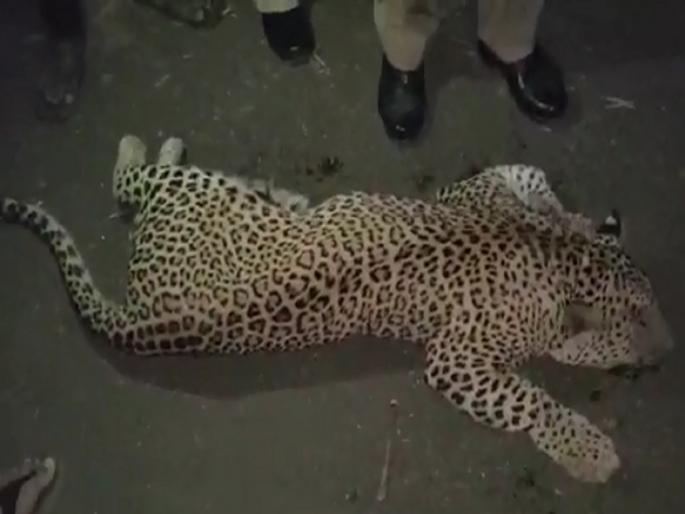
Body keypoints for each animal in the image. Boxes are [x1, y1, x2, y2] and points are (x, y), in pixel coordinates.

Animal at [0, 134, 673, 484]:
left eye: (656, 314)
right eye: (637, 330)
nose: (668, 351)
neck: (558, 263)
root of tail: (144, 319)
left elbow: (532, 179)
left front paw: (571, 212)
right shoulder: (455, 359)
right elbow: (531, 400)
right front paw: (589, 450)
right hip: (189, 189)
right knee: (130, 182)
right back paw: (148, 144)